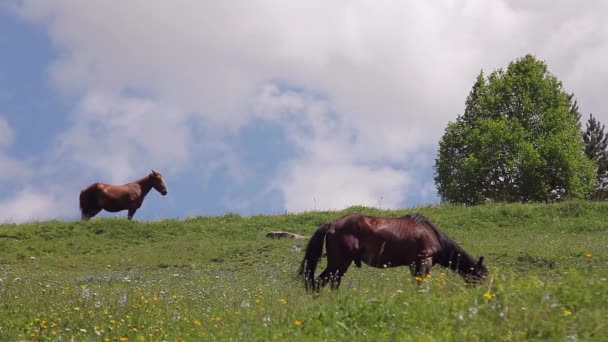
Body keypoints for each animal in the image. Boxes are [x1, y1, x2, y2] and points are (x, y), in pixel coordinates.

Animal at [300, 214, 490, 292]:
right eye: (481, 276)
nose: (482, 296)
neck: (432, 234)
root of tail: (331, 224)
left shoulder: (414, 265)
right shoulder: (424, 262)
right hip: (339, 263)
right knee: (321, 282)